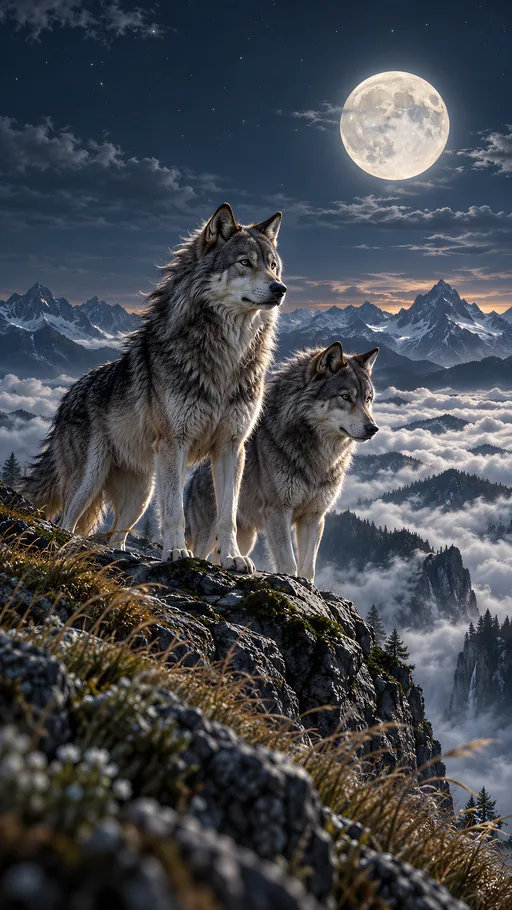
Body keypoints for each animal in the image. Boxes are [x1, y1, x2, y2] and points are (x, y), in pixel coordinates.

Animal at [22, 203, 286, 572]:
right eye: (245, 262)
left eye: (272, 265)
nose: (280, 289)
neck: (226, 357)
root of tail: (66, 397)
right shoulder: (174, 443)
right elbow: (174, 512)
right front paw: (175, 552)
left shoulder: (231, 447)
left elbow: (227, 516)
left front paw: (233, 558)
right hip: (90, 481)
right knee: (66, 522)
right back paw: (67, 551)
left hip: (141, 496)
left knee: (116, 536)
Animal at [185, 342, 379, 581]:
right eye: (345, 397)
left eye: (368, 399)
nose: (373, 428)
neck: (319, 457)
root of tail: (193, 479)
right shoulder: (278, 511)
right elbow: (289, 564)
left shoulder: (314, 517)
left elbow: (308, 569)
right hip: (209, 533)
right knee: (200, 553)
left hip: (246, 538)